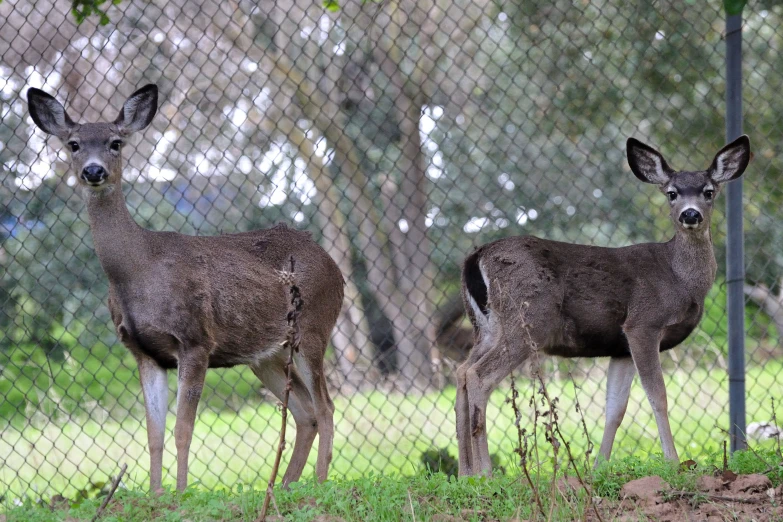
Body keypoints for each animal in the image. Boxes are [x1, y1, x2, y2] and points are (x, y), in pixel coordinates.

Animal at [26, 85, 344, 492]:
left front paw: (179, 492)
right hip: (264, 354)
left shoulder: (195, 340)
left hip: (314, 327)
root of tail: (334, 265)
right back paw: (282, 487)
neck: (137, 271)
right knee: (305, 412)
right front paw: (156, 493)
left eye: (115, 142)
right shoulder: (144, 352)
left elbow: (182, 430)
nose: (93, 171)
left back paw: (318, 483)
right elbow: (153, 434)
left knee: (325, 406)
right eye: (73, 144)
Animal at [460, 134, 752, 476]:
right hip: (529, 319)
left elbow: (615, 409)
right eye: (671, 193)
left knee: (462, 370)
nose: (690, 215)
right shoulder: (642, 323)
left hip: (487, 327)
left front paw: (598, 466)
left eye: (709, 192)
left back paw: (465, 473)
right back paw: (485, 472)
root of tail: (474, 258)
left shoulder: (620, 346)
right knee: (478, 375)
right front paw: (673, 461)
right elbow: (658, 395)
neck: (678, 277)